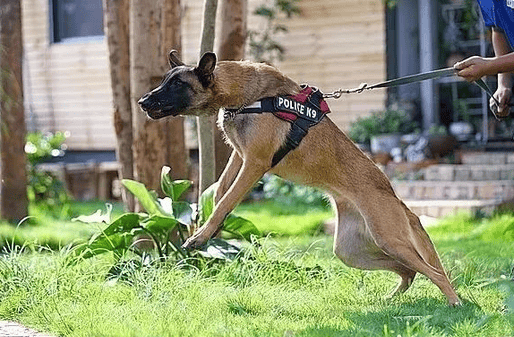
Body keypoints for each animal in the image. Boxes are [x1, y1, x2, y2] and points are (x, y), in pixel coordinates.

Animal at [137, 50, 460, 304]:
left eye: (177, 85)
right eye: (165, 81)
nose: (142, 101)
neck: (247, 95)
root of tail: (398, 200)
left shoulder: (254, 163)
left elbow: (226, 200)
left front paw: (201, 235)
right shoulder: (239, 156)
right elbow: (219, 193)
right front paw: (208, 227)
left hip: (389, 239)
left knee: (432, 271)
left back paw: (454, 303)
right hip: (351, 251)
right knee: (409, 270)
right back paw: (391, 298)